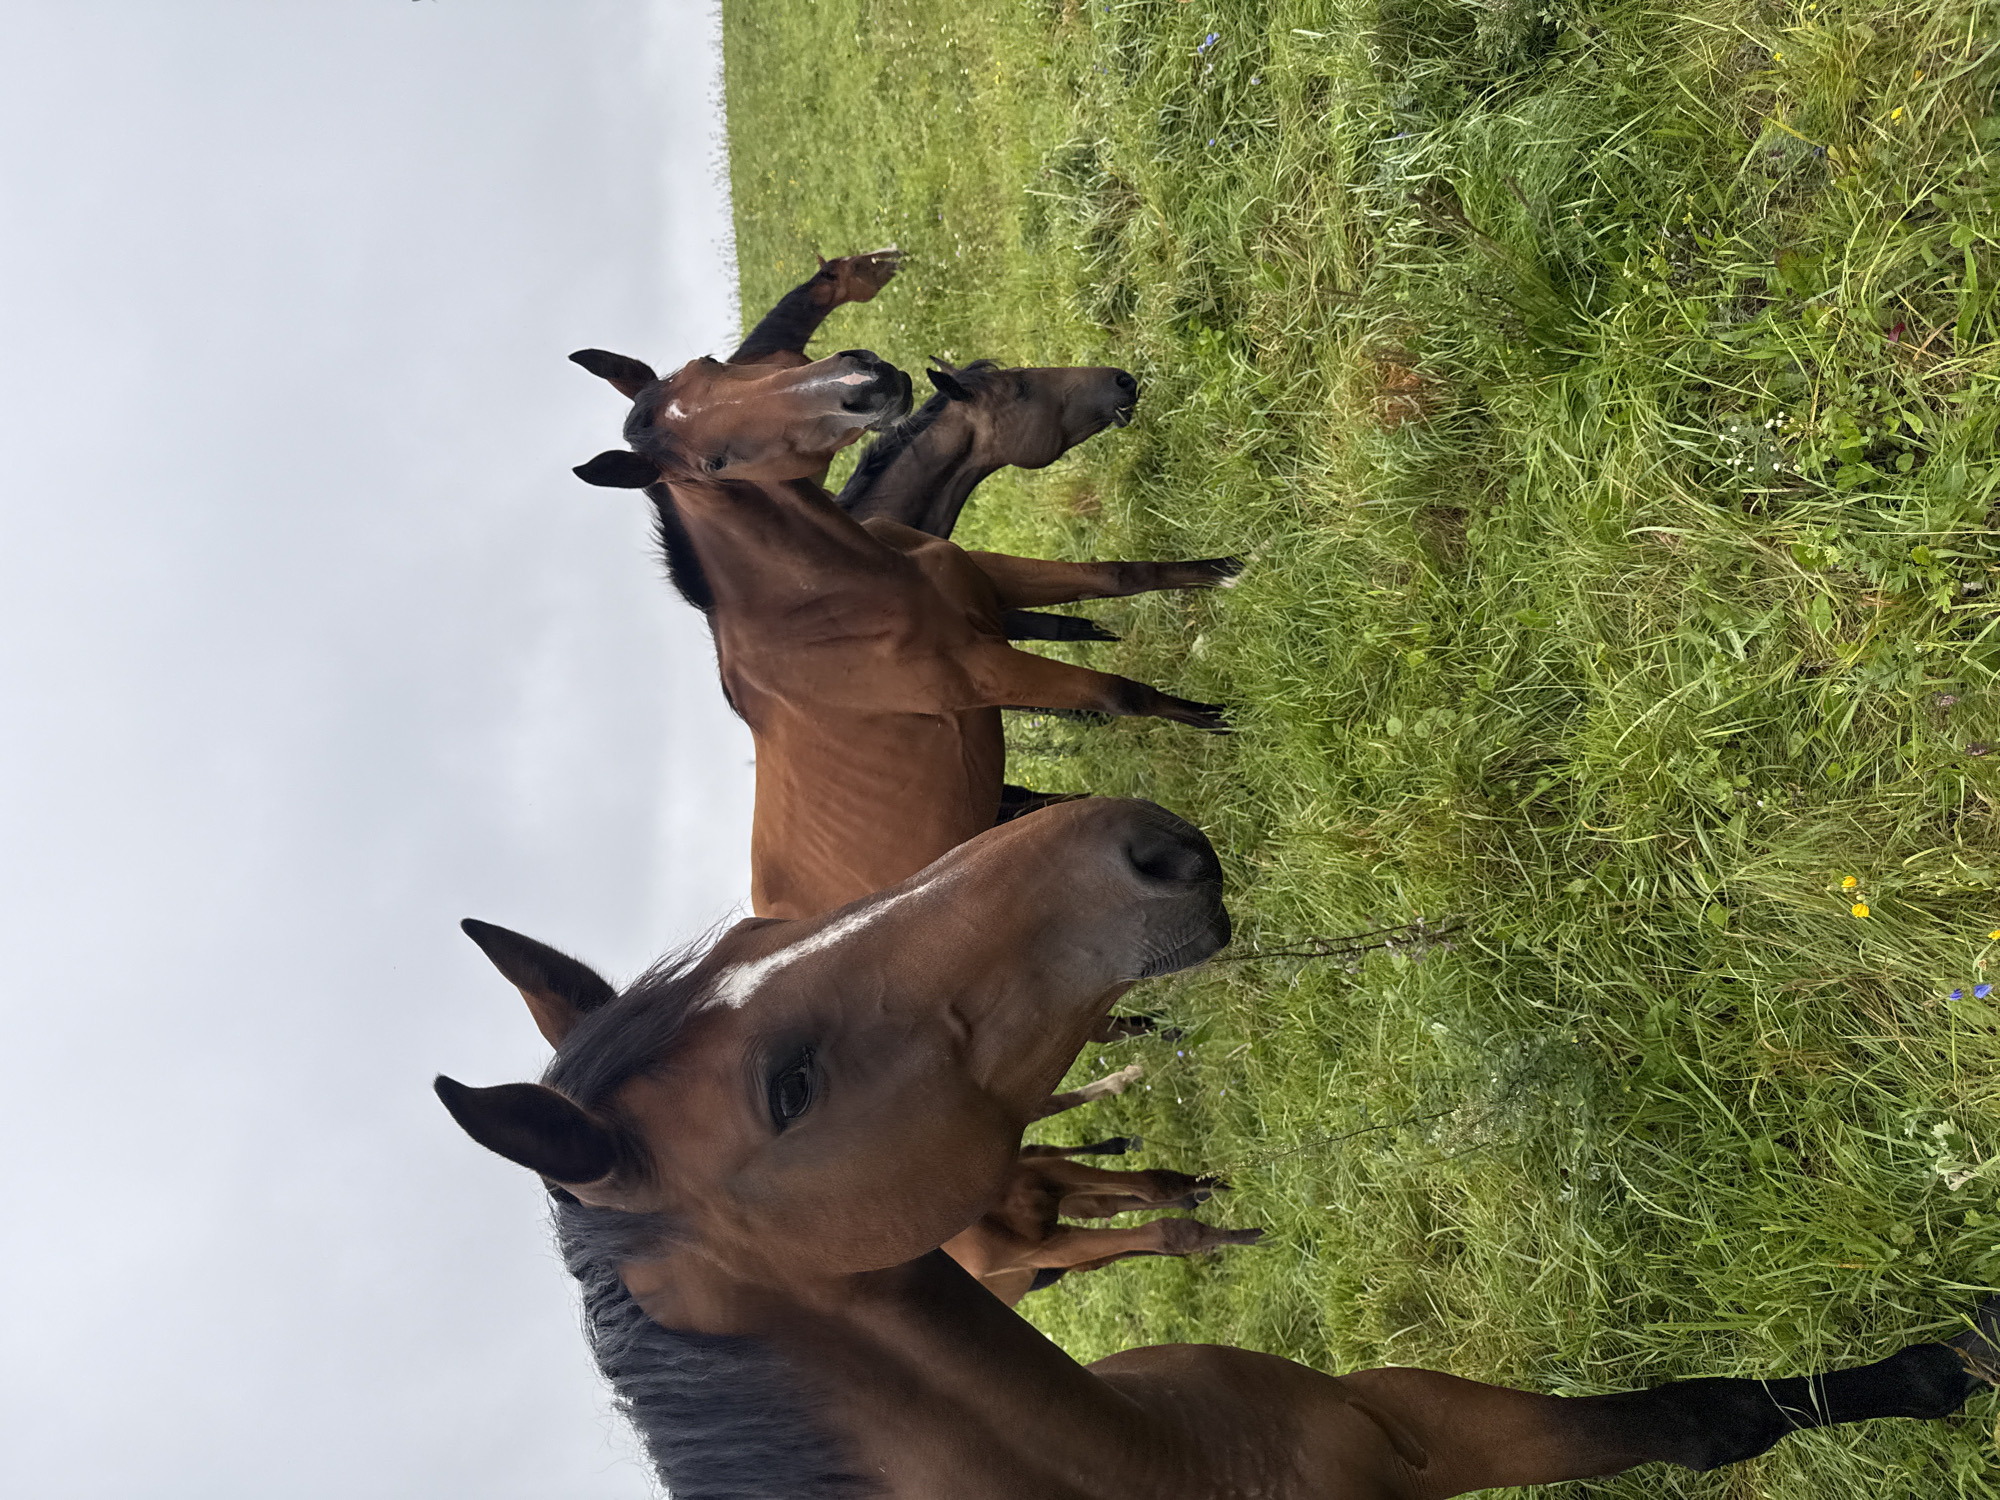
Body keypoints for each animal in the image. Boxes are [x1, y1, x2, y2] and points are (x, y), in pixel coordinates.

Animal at [435, 798, 1999, 1500]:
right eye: (790, 1085)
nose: (1137, 841)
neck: (1164, 1469)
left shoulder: (1409, 1421)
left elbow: (1701, 1417)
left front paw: (1942, 1365)